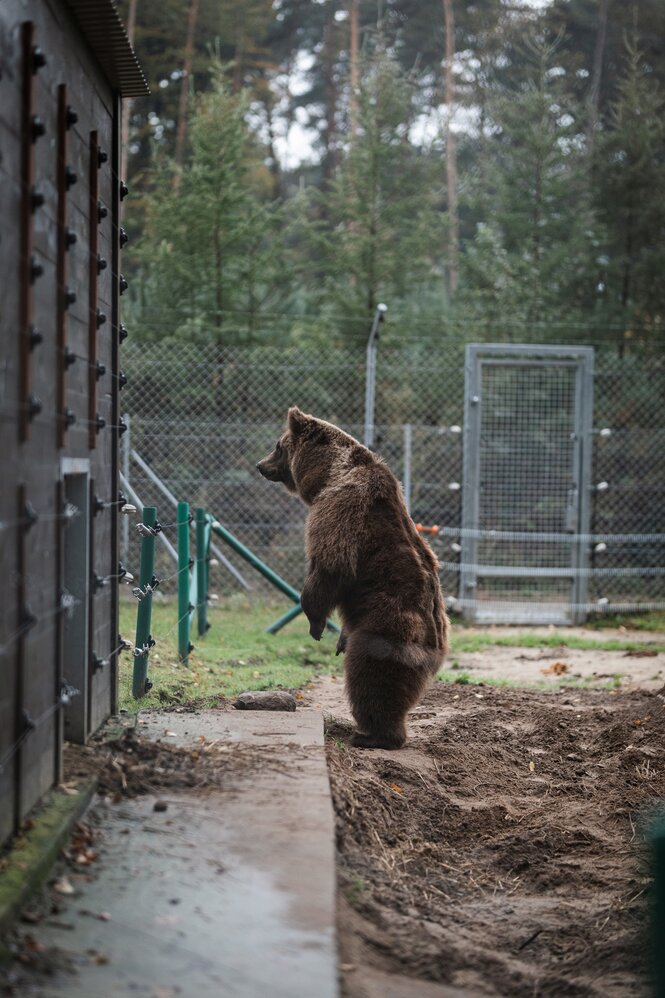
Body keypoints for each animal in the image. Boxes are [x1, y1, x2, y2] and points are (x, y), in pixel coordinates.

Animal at [256, 406, 448, 752]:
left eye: (278, 445)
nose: (261, 465)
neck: (328, 474)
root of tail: (436, 649)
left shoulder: (341, 508)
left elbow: (331, 566)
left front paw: (316, 623)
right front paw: (337, 637)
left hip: (388, 628)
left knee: (370, 677)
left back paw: (372, 735)